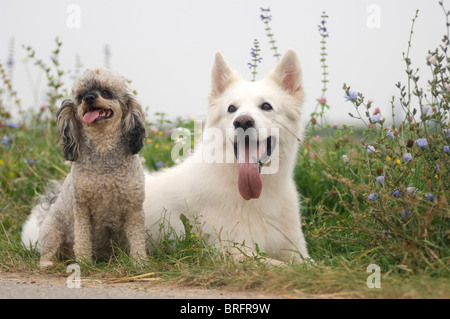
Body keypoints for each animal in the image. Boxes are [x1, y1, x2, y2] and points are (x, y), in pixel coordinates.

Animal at [144, 49, 310, 264]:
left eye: (266, 106)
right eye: (232, 109)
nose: (243, 122)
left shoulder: (298, 252)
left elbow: (309, 265)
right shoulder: (235, 251)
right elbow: (282, 266)